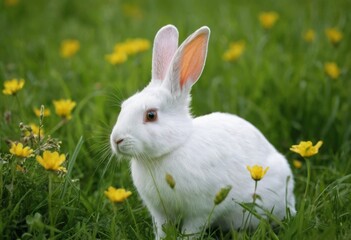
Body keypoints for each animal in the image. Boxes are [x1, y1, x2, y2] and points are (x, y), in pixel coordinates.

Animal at [110, 25, 296, 239]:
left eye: (151, 115)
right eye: (124, 106)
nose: (116, 140)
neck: (173, 148)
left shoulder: (200, 211)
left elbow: (192, 230)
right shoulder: (159, 212)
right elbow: (162, 229)